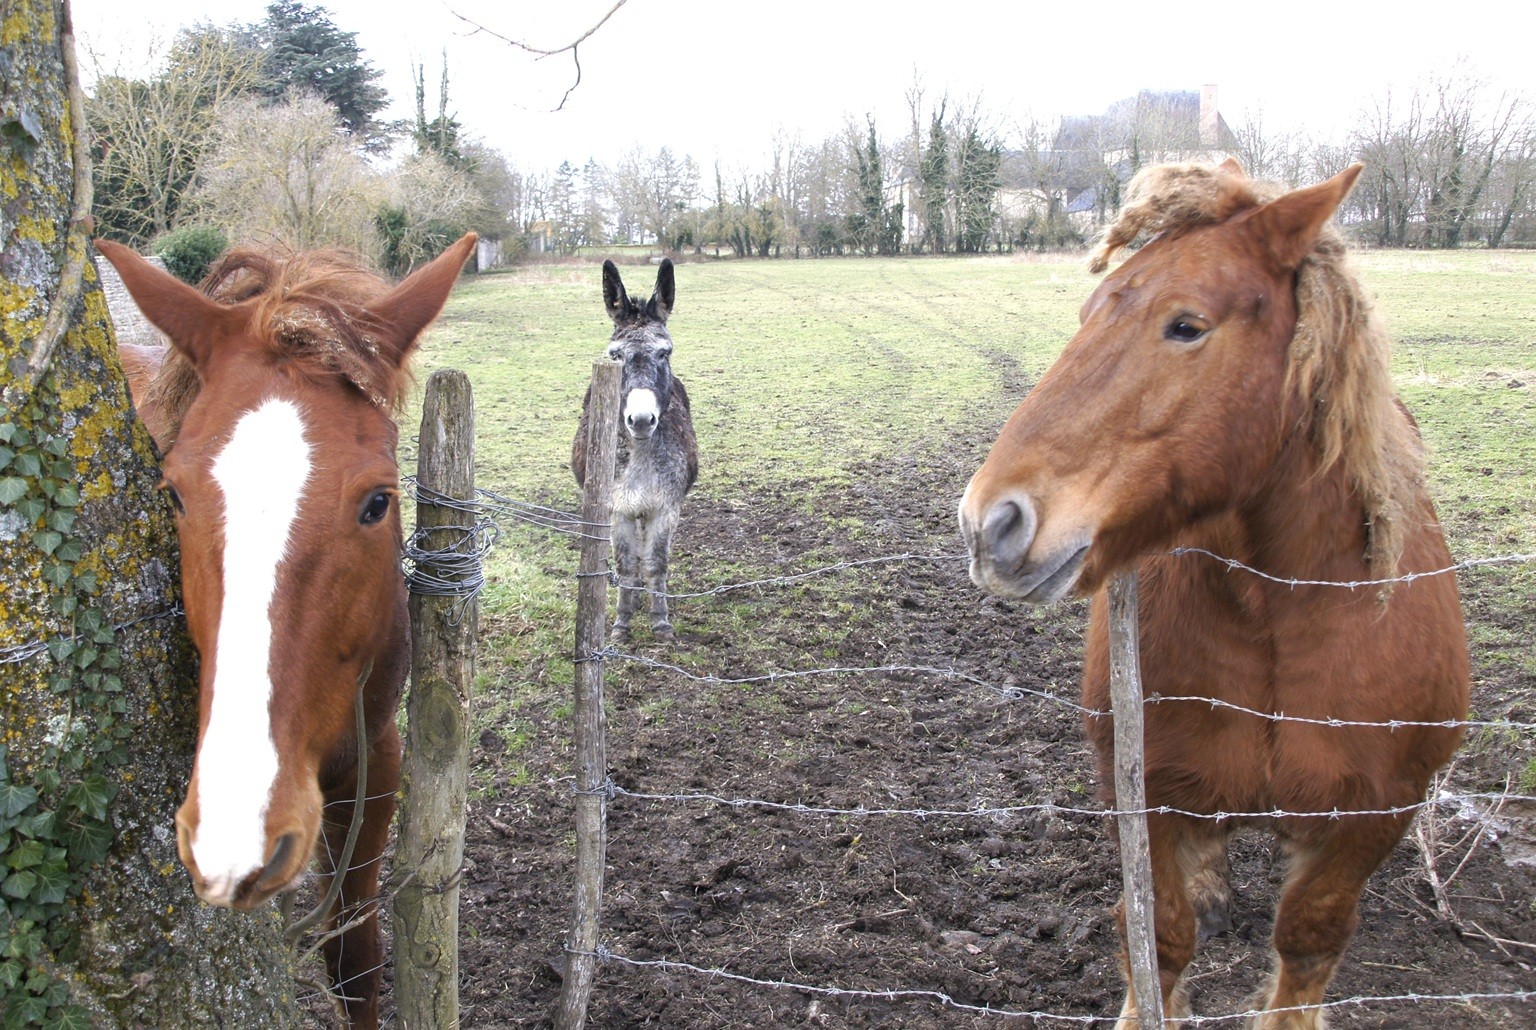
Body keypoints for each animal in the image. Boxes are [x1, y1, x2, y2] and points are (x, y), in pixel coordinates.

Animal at [952, 161, 1468, 1025]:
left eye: (1186, 326)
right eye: (1088, 312)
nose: (990, 522)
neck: (1280, 609)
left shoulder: (1373, 815)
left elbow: (1309, 940)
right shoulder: (1149, 798)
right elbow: (1159, 939)